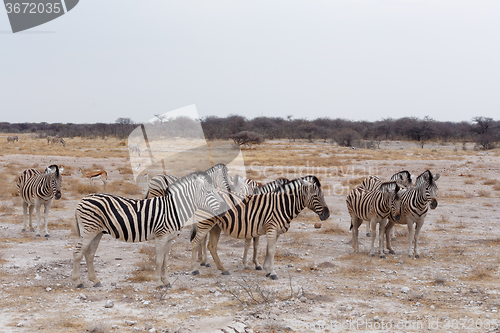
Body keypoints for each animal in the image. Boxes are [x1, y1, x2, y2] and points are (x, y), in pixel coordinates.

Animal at [72, 171, 225, 288]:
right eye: (208, 192)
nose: (224, 207)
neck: (173, 209)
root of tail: (82, 199)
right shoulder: (161, 236)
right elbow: (158, 260)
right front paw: (158, 283)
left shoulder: (169, 239)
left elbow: (165, 260)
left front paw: (166, 281)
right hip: (88, 230)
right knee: (78, 253)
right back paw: (78, 282)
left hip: (97, 232)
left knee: (89, 254)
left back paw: (95, 280)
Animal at [189, 175, 330, 278]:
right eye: (316, 196)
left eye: (323, 195)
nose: (327, 214)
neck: (281, 205)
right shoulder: (271, 228)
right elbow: (271, 250)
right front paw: (272, 272)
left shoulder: (273, 231)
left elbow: (267, 249)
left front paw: (266, 269)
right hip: (206, 223)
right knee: (196, 242)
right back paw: (195, 269)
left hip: (215, 226)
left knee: (211, 246)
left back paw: (223, 269)